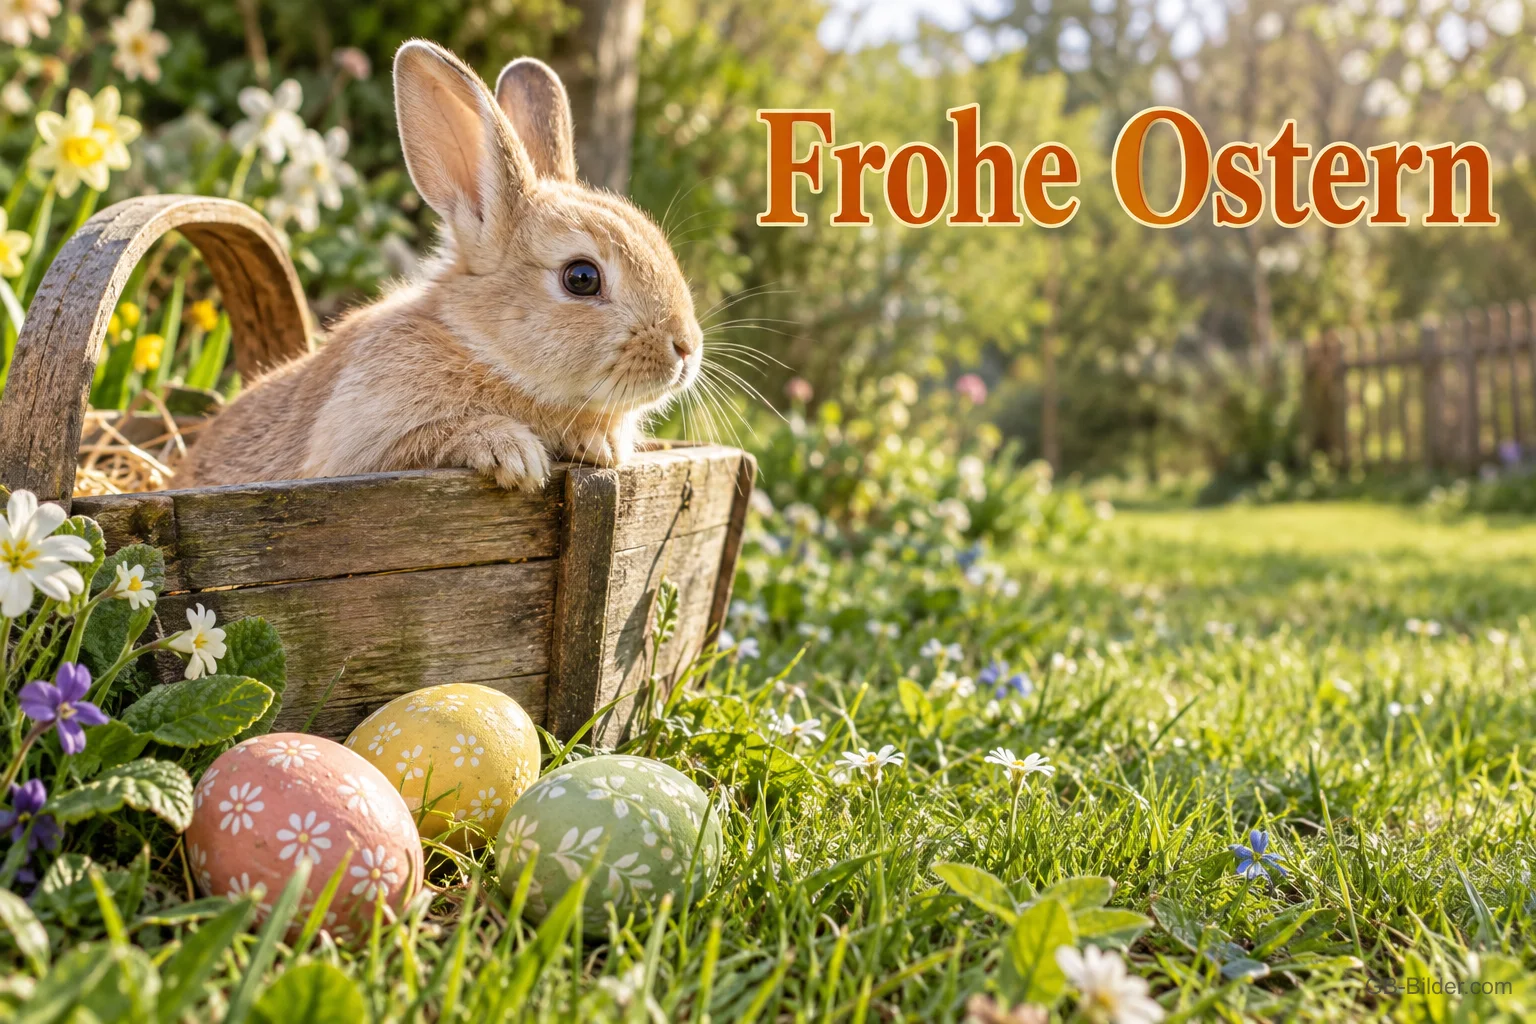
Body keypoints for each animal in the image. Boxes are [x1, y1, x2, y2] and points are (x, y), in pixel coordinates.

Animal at [178, 39, 703, 492]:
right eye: (581, 278)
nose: (686, 347)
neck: (478, 348)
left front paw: (602, 445)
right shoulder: (361, 443)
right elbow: (433, 437)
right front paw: (514, 454)